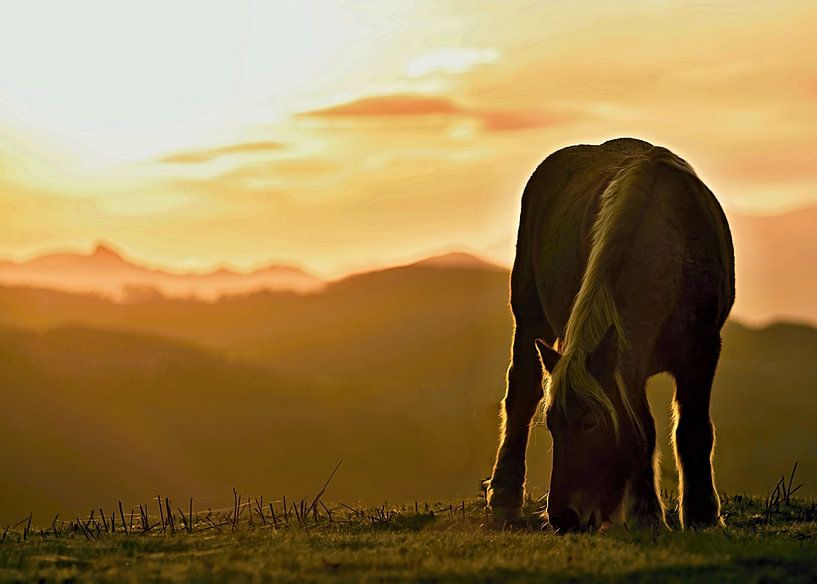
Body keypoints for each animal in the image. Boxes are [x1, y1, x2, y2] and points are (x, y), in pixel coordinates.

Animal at [486, 138, 735, 531]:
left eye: (590, 423)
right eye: (552, 425)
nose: (563, 517)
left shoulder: (702, 350)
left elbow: (692, 429)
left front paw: (702, 514)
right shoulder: (629, 361)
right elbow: (644, 429)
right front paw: (646, 513)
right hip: (528, 316)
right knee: (522, 392)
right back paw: (504, 497)